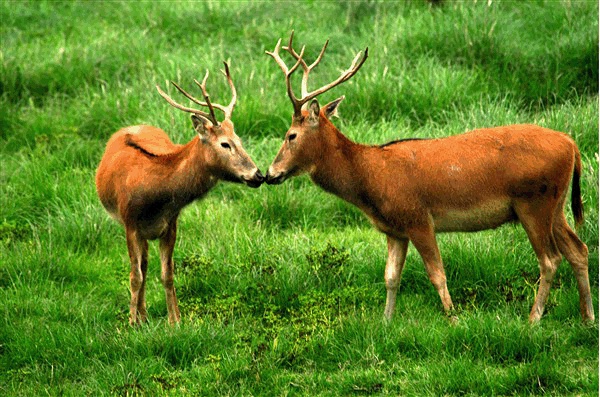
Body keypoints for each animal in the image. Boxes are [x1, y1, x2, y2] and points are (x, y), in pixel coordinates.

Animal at [95, 62, 264, 324]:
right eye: (225, 144)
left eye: (239, 139)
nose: (257, 175)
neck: (155, 195)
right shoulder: (130, 222)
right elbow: (135, 276)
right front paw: (130, 323)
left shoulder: (170, 223)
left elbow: (167, 274)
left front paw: (176, 321)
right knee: (141, 268)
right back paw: (140, 317)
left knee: (146, 263)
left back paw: (144, 314)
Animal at [266, 31, 596, 322]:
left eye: (291, 135)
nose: (270, 173)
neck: (371, 178)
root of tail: (571, 144)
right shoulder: (395, 230)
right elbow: (390, 277)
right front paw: (385, 323)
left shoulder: (418, 218)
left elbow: (437, 274)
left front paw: (454, 320)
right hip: (555, 204)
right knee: (578, 249)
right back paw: (587, 317)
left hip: (533, 201)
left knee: (550, 259)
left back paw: (533, 320)